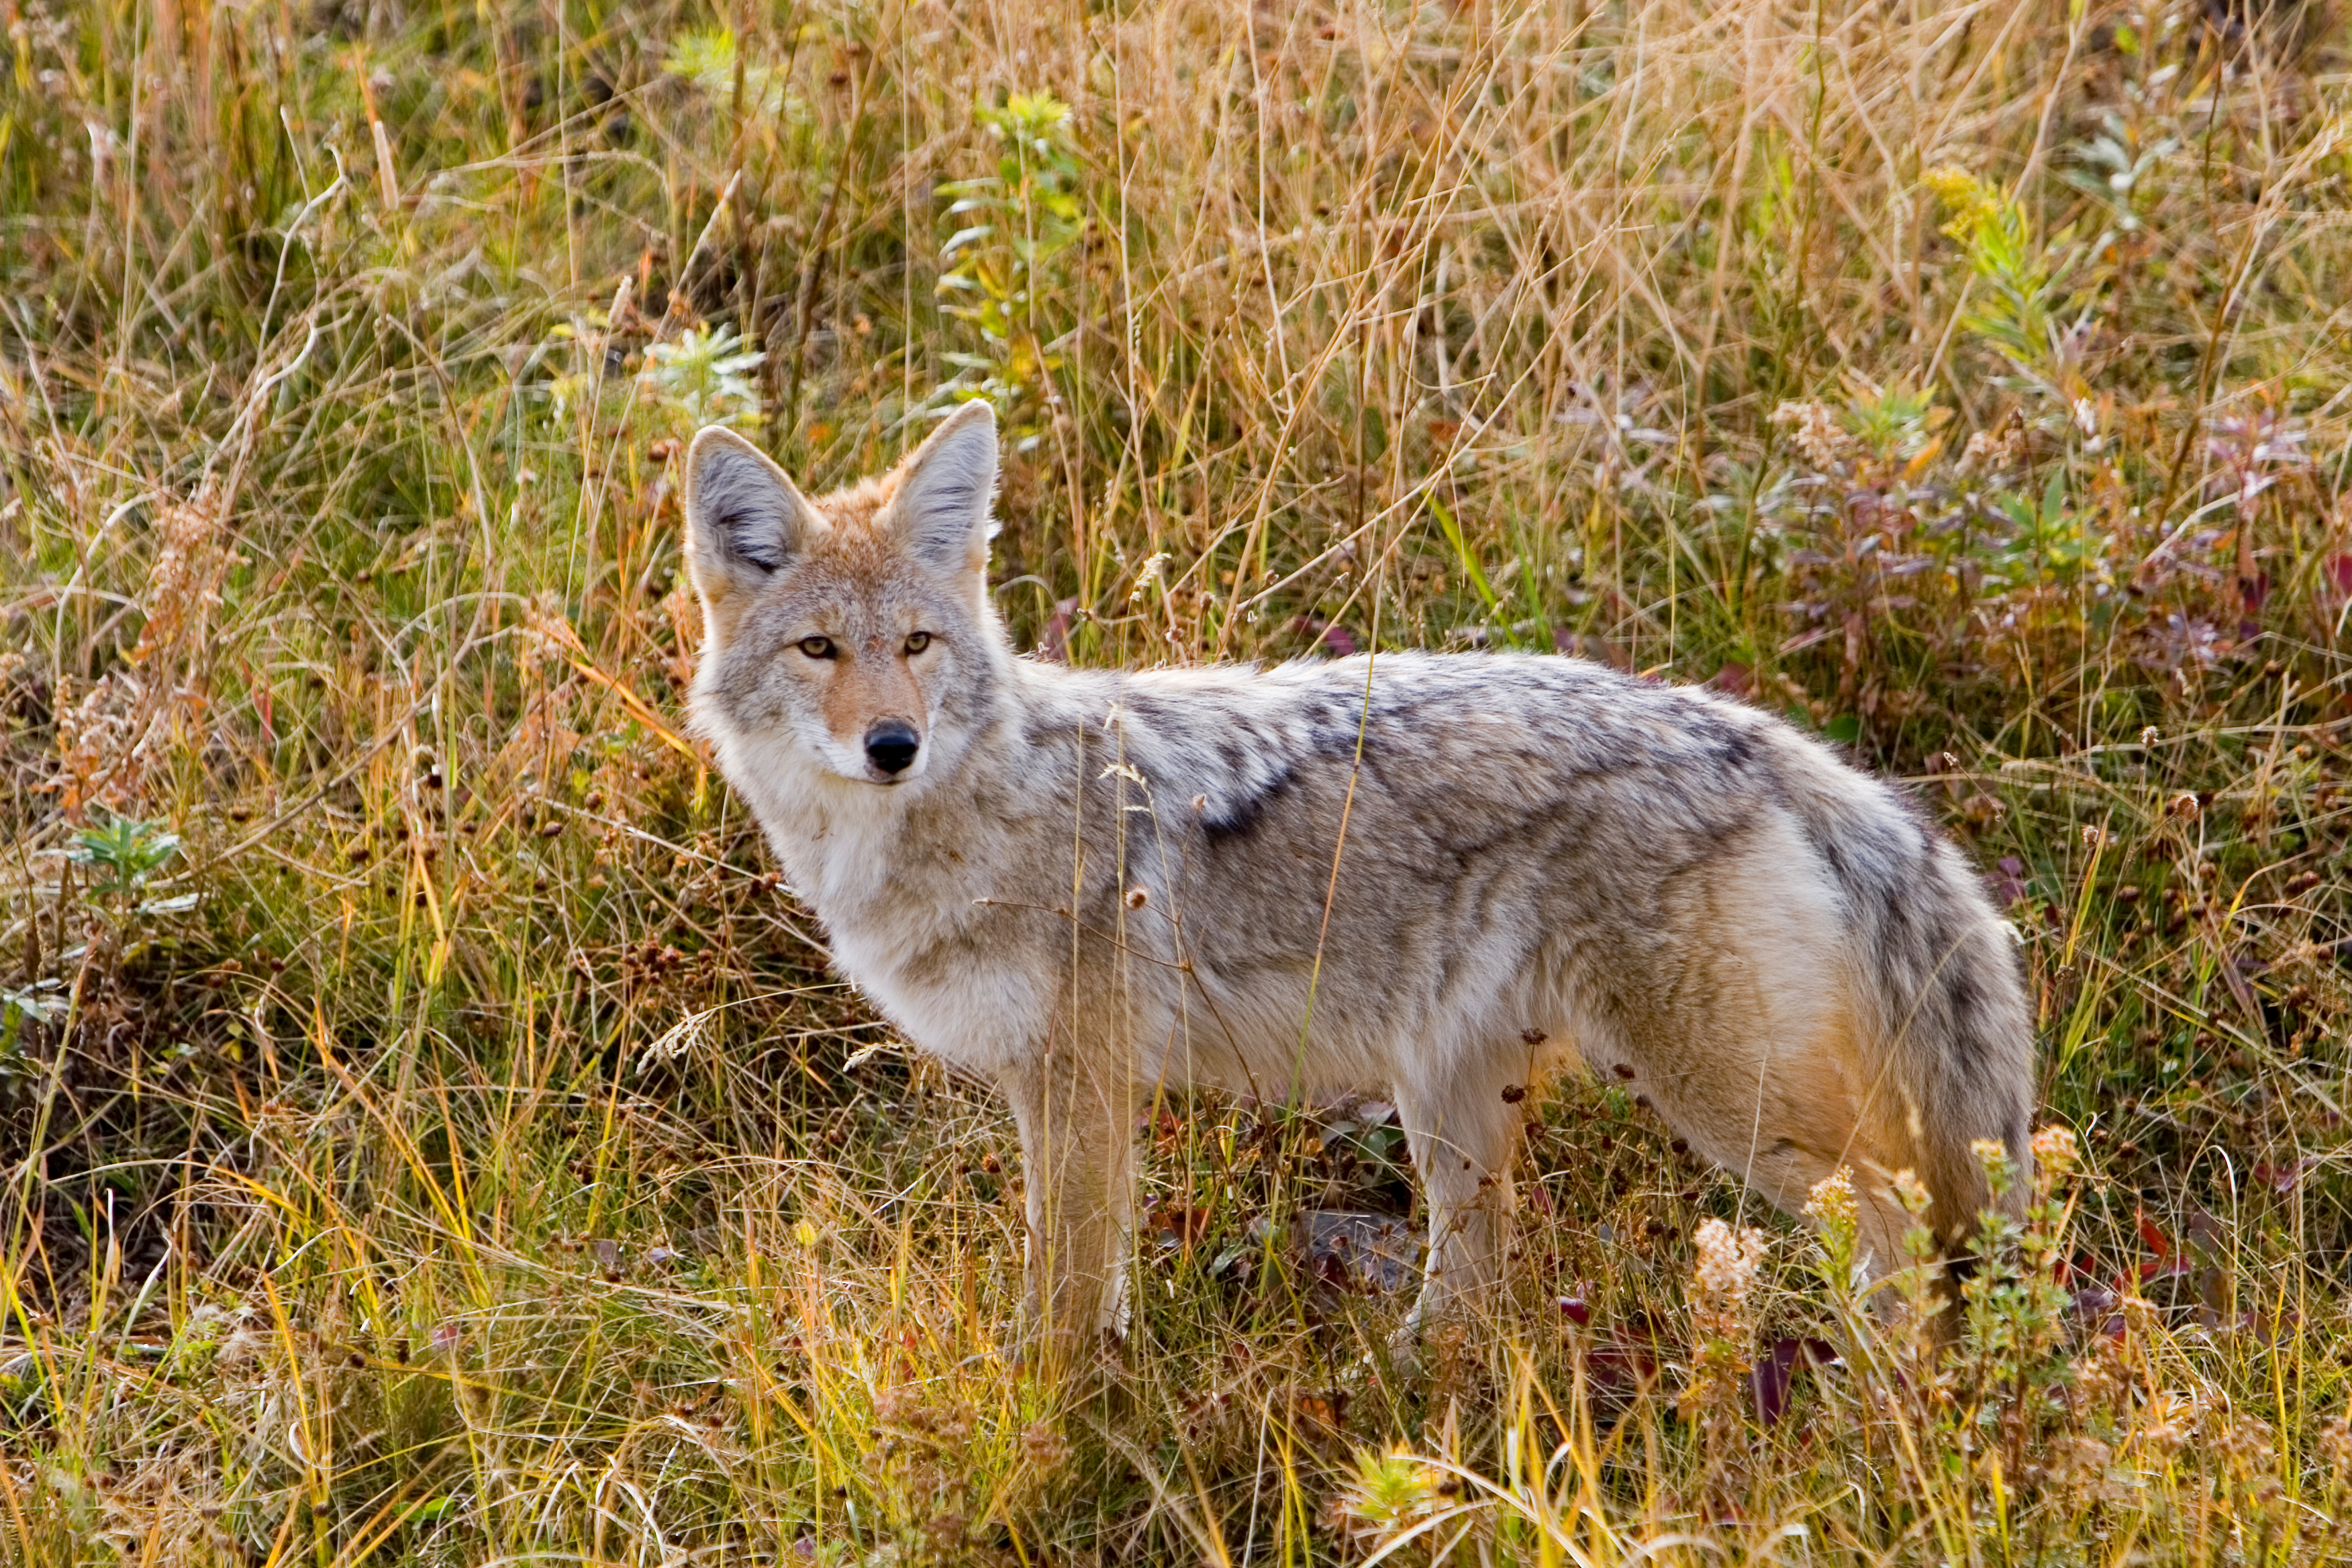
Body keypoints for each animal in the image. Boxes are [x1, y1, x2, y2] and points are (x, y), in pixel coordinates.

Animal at [678, 400, 2037, 1370]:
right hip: (1457, 1107)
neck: (974, 811)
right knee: (1479, 1295)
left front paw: (1044, 1413)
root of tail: (1750, 734)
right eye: (819, 650)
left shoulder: (1079, 1087)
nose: (891, 745)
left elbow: (1062, 1298)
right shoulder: (1068, 1092)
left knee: (1904, 1221)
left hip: (1720, 1106)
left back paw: (1882, 1400)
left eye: (915, 645)